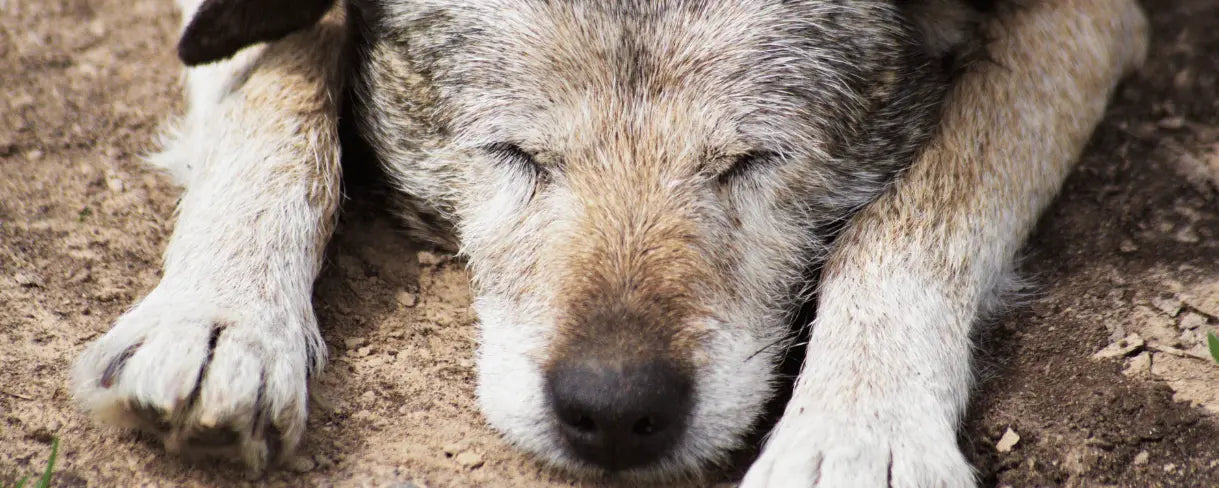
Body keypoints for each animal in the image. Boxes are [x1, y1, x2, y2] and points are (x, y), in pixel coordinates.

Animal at [69, 0, 1150, 483]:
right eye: (516, 153)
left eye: (749, 161)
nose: (616, 412)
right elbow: (280, 87)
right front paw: (221, 321)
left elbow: (913, 214)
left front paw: (862, 425)